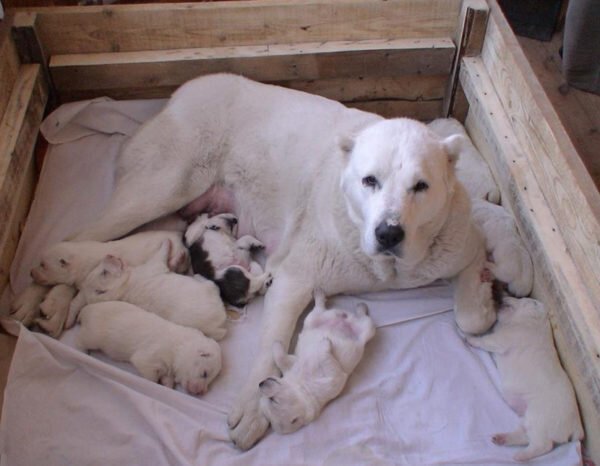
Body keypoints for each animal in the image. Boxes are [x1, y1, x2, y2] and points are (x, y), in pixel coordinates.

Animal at [67, 238, 227, 340]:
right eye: (104, 272)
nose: (109, 255)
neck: (123, 287)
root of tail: (219, 327)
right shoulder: (154, 265)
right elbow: (162, 255)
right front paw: (167, 244)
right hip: (210, 289)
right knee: (211, 285)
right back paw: (199, 277)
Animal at [466, 296, 584, 460]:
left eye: (525, 299)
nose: (503, 297)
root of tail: (576, 428)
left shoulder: (506, 338)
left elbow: (487, 340)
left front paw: (469, 338)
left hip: (540, 419)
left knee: (543, 445)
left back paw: (519, 456)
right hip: (528, 419)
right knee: (524, 437)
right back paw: (500, 439)